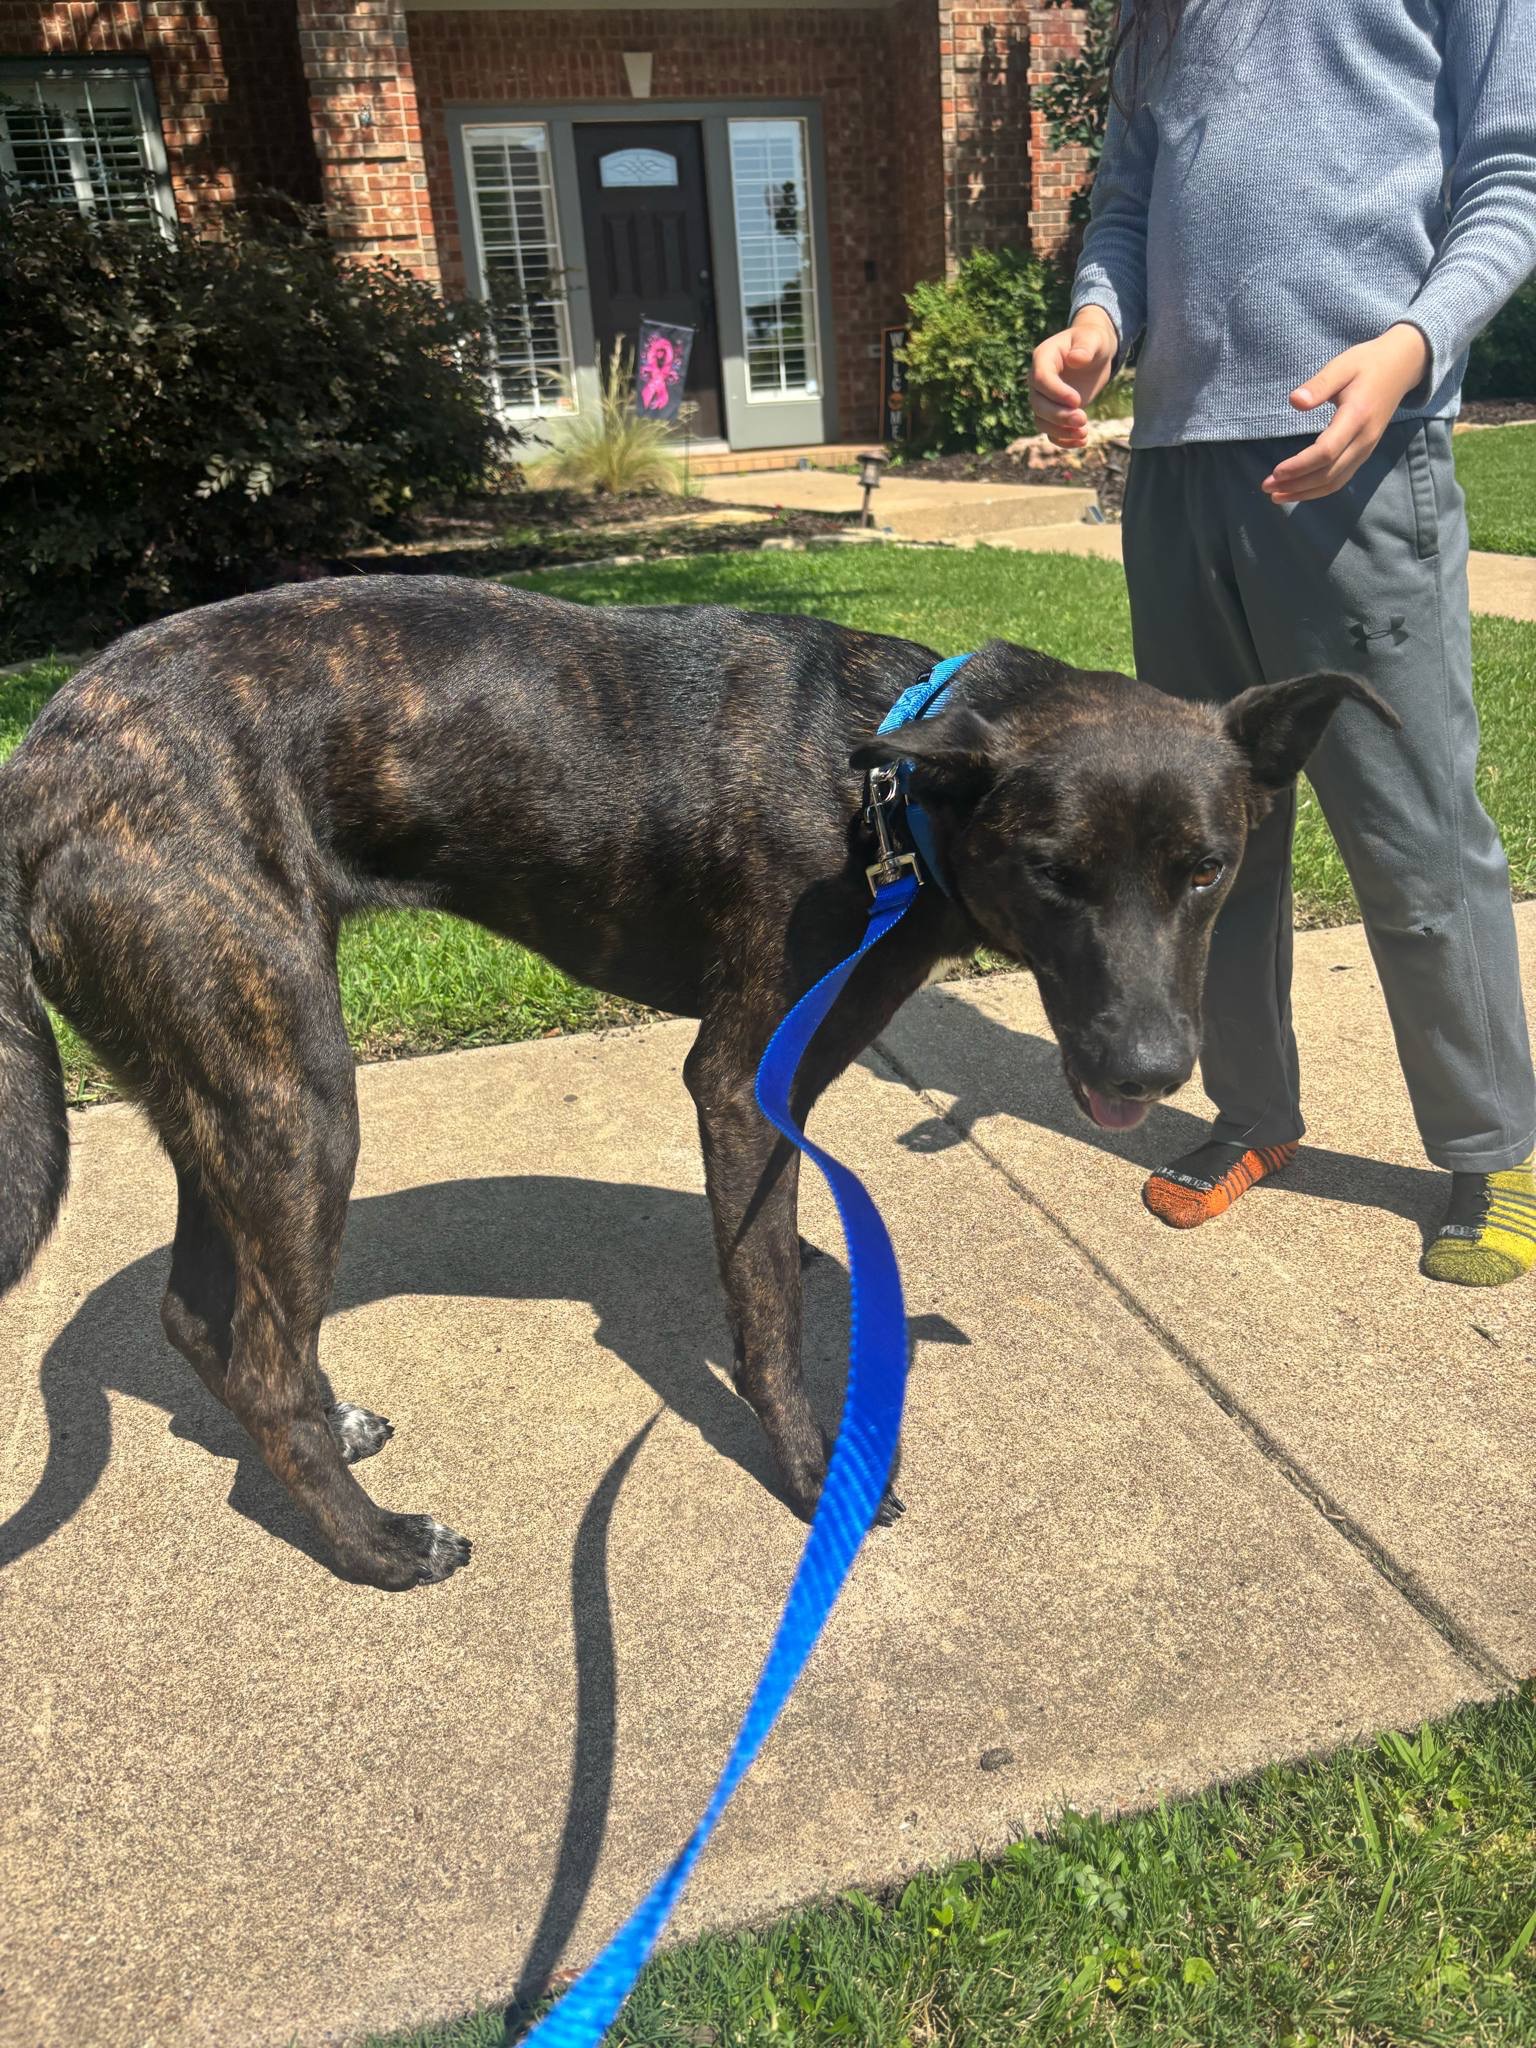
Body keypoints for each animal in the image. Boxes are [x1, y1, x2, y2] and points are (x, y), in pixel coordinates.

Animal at [0, 576, 1394, 1588]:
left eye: (1206, 867)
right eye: (1055, 871)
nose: (1149, 1067)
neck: (884, 785)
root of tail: (39, 761)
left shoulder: (799, 1070)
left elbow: (776, 1244)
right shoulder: (733, 1079)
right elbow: (767, 1307)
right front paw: (814, 1473)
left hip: (223, 1078)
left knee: (208, 1319)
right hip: (293, 1093)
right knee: (265, 1357)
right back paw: (375, 1544)